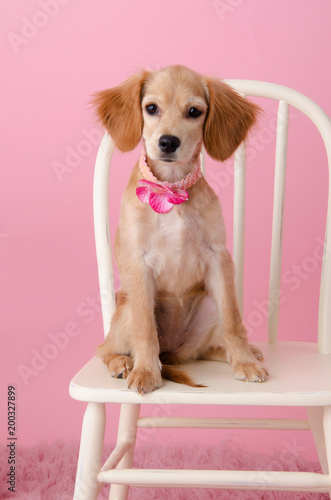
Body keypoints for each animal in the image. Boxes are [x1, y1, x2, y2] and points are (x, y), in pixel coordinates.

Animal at [93, 64, 270, 392]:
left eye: (194, 112)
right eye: (151, 108)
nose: (168, 142)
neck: (171, 190)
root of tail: (172, 352)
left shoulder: (218, 257)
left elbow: (233, 321)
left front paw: (244, 361)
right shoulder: (138, 262)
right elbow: (145, 329)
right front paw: (146, 371)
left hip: (209, 304)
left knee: (205, 348)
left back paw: (238, 352)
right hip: (125, 309)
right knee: (105, 348)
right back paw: (122, 363)